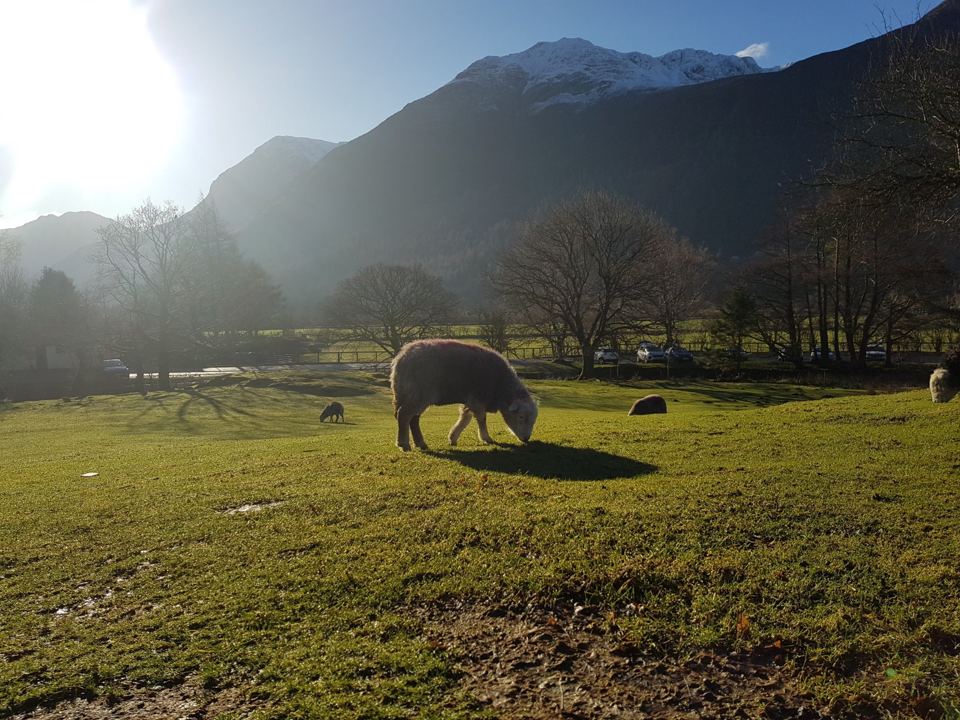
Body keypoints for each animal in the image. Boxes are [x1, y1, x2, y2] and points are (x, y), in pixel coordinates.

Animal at [390, 339, 537, 451]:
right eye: (521, 417)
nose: (526, 439)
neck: (500, 385)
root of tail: (401, 358)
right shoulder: (477, 399)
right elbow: (481, 419)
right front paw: (486, 438)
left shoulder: (470, 401)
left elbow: (465, 418)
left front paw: (453, 438)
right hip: (419, 394)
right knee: (404, 415)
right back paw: (404, 444)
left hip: (414, 395)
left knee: (413, 419)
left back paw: (421, 443)